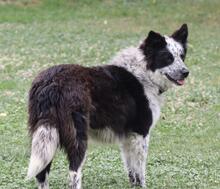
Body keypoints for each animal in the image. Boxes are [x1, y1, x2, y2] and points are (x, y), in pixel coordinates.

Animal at [26, 24, 189, 188]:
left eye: (182, 56)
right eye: (168, 58)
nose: (186, 72)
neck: (145, 73)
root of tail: (51, 83)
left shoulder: (128, 137)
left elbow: (132, 171)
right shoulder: (140, 134)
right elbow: (140, 171)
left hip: (45, 137)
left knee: (41, 173)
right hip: (77, 138)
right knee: (74, 173)